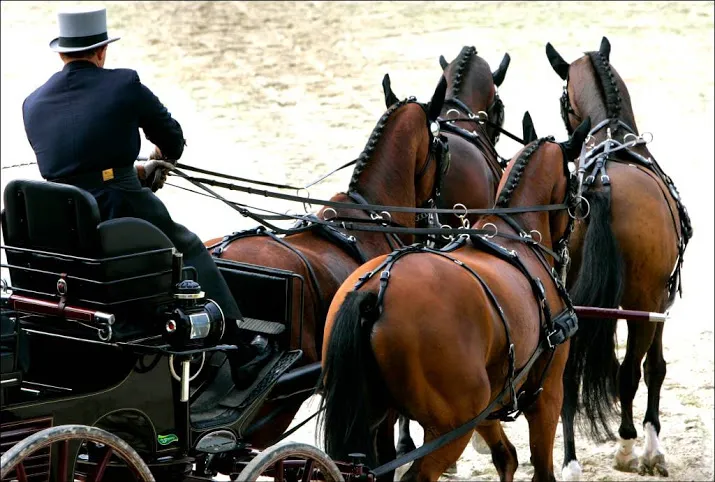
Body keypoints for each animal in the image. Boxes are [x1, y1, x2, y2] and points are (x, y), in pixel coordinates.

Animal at [322, 117, 592, 482]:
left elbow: (506, 457)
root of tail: (376, 290)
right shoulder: (546, 394)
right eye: (575, 180)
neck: (515, 235)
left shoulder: (490, 402)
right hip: (452, 426)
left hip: (384, 419)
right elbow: (541, 471)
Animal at [548, 36, 692, 478]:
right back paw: (630, 447)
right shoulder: (659, 304)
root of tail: (603, 186)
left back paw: (570, 463)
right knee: (631, 373)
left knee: (568, 379)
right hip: (645, 303)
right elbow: (653, 370)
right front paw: (649, 447)